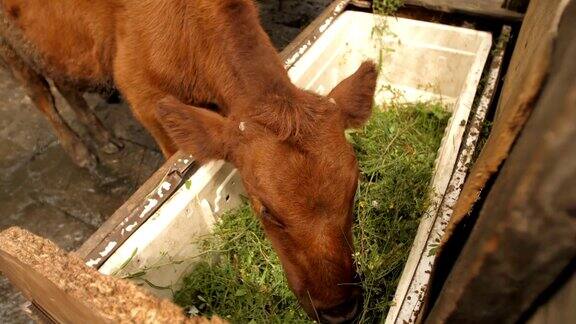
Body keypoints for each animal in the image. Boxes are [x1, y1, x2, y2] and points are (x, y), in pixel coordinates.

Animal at [1, 0, 378, 322]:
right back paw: (82, 153)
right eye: (266, 210)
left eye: (353, 191)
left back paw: (105, 139)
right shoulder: (144, 97)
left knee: (64, 81)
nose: (340, 312)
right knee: (40, 93)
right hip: (11, 48)